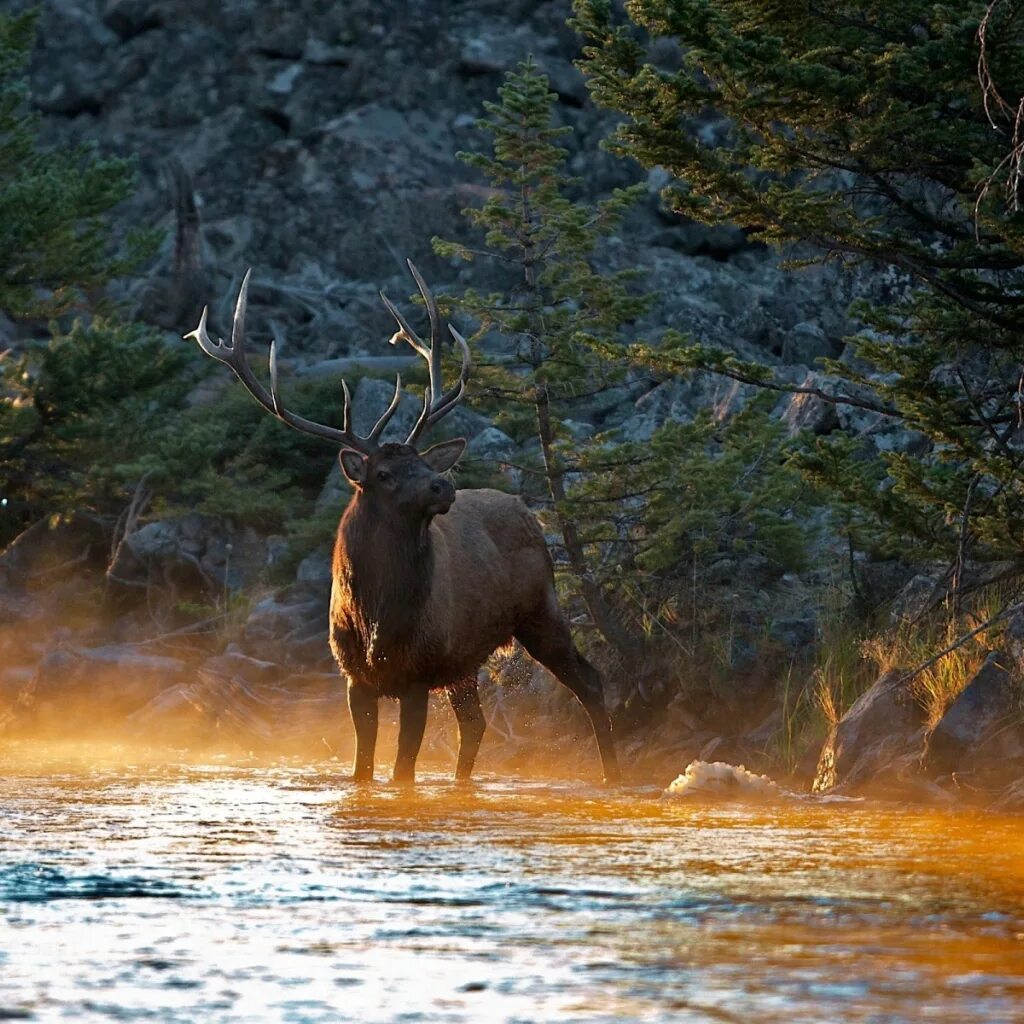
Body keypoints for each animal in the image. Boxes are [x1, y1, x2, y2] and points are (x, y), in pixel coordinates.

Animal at [185, 264, 618, 782]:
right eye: (385, 473)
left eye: (423, 462)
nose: (442, 485)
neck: (377, 618)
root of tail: (525, 508)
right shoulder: (355, 678)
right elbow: (363, 768)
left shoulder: (417, 674)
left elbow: (402, 770)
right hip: (463, 659)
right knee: (475, 724)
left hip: (540, 608)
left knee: (589, 682)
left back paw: (615, 774)